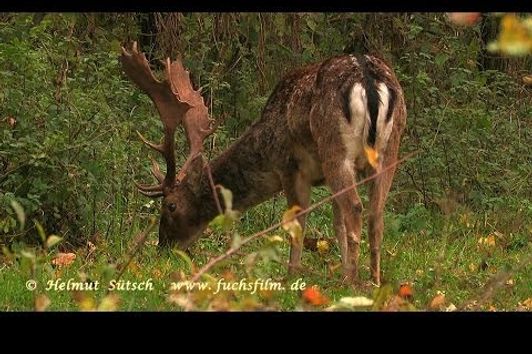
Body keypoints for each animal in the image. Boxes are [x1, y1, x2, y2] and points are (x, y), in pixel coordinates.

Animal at [119, 41, 408, 284]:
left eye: (171, 206)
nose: (163, 248)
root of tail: (369, 82)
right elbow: (337, 223)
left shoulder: (289, 165)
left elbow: (297, 222)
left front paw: (290, 277)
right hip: (390, 149)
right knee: (375, 213)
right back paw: (373, 281)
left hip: (334, 148)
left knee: (356, 208)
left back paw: (352, 282)